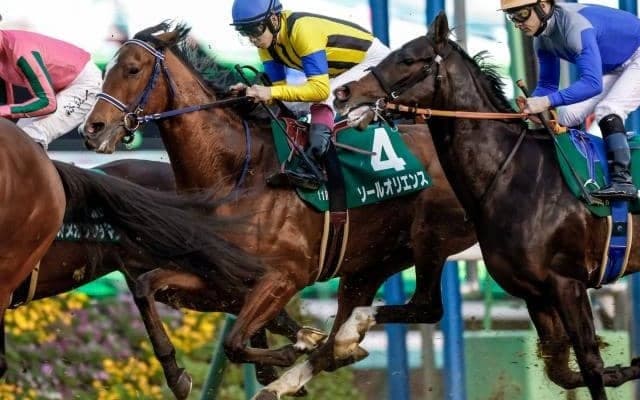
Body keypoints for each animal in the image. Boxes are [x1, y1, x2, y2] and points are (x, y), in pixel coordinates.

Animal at [79, 22, 476, 398]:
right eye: (107, 69)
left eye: (132, 69)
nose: (92, 129)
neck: (237, 172)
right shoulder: (221, 276)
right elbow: (146, 286)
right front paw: (177, 375)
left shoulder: (285, 276)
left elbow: (235, 342)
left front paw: (292, 352)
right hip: (371, 264)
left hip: (428, 239)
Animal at [333, 11, 640, 400]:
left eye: (407, 59)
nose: (343, 93)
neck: (512, 173)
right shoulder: (535, 293)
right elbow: (563, 371)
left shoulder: (567, 283)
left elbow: (590, 365)